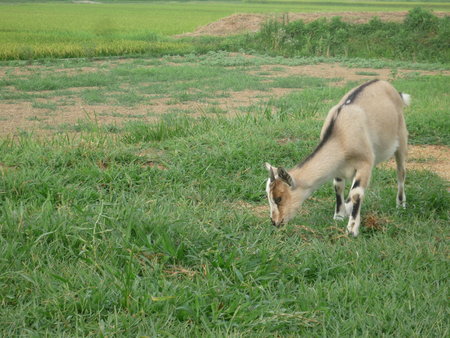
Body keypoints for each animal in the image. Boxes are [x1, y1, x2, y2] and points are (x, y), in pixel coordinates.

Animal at [266, 80, 410, 236]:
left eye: (279, 198)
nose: (275, 222)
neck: (340, 138)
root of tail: (388, 86)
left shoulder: (365, 163)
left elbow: (356, 193)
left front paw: (352, 229)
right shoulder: (338, 168)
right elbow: (338, 187)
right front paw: (339, 215)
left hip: (401, 137)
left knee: (401, 172)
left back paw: (400, 204)